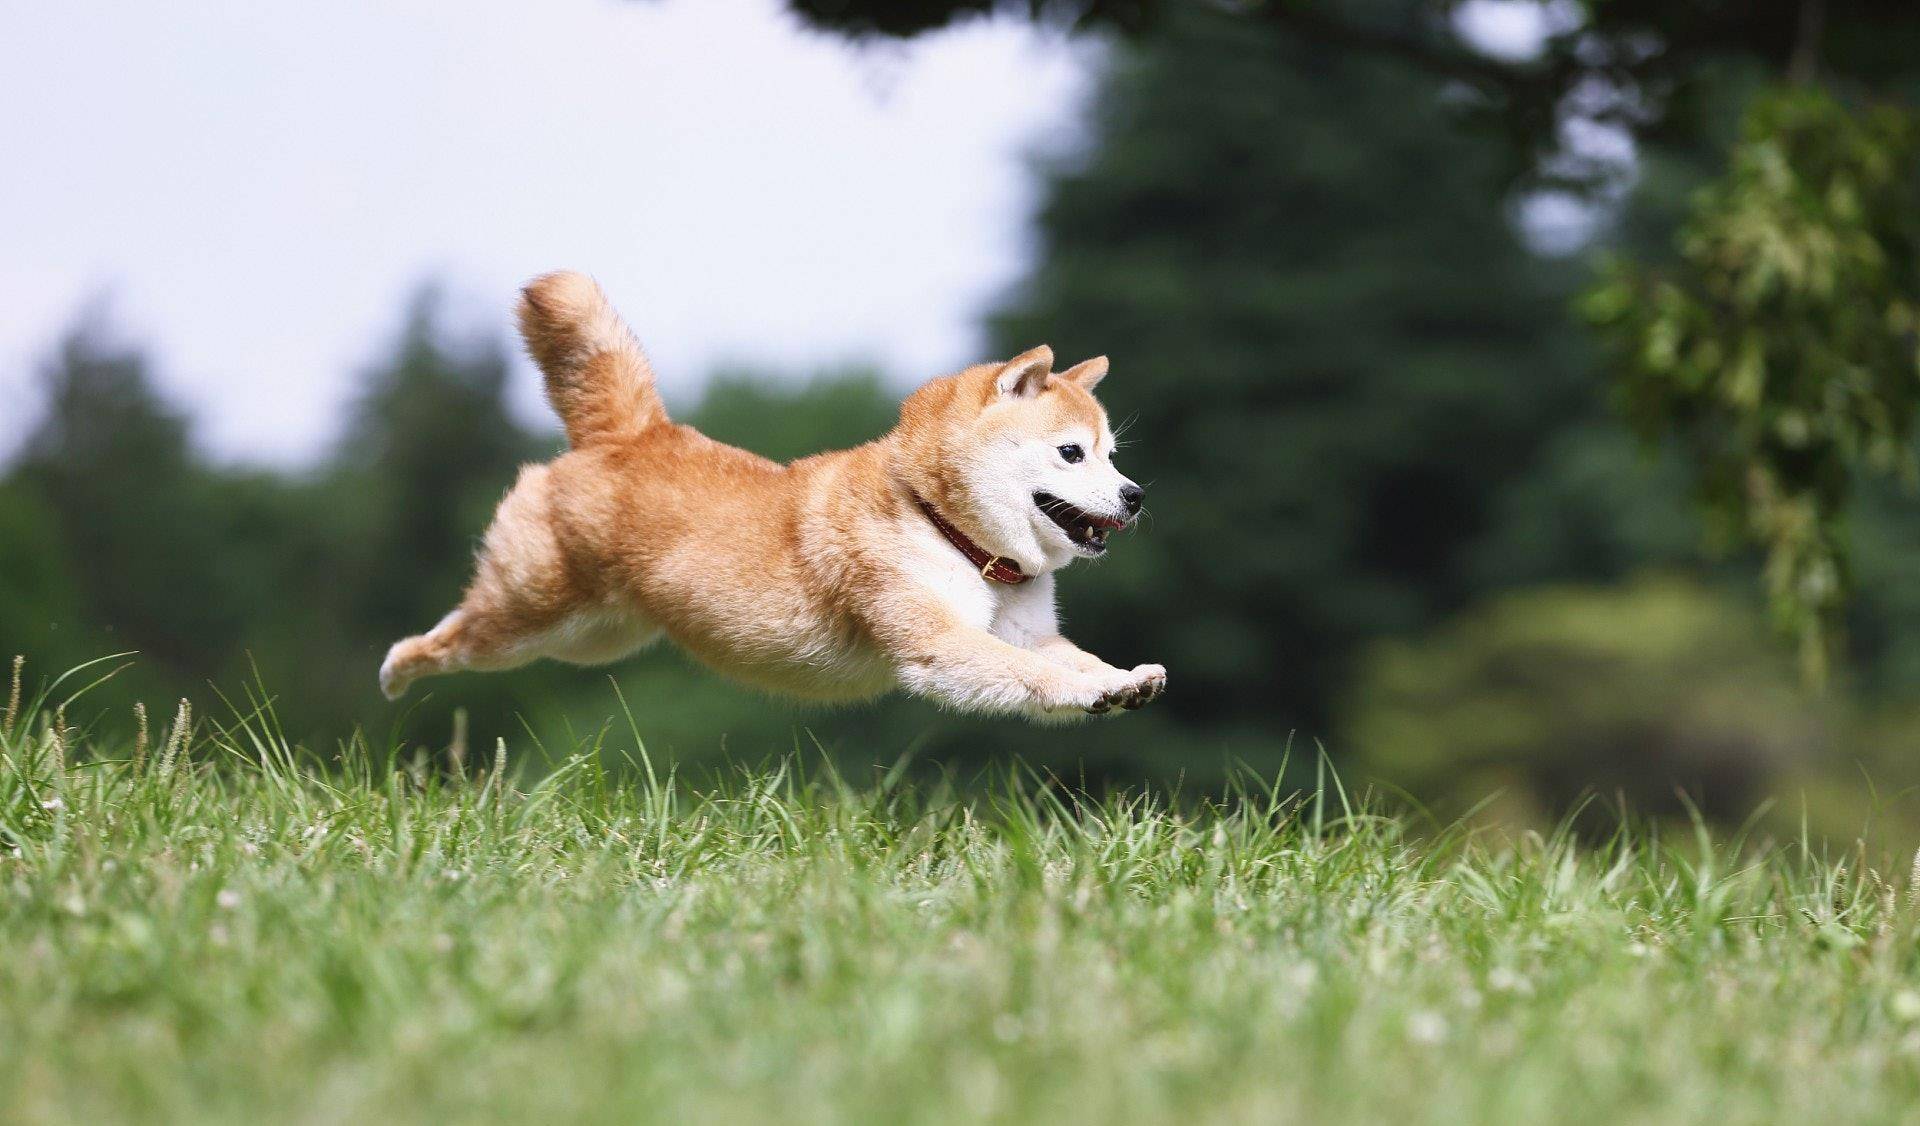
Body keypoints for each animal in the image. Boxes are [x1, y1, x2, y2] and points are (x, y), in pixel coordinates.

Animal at [368, 267, 1159, 714]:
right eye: (1071, 453)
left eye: (1114, 455)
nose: (1135, 496)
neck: (947, 529)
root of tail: (633, 435)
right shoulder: (939, 643)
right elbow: (1035, 675)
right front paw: (1093, 692)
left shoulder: (1028, 631)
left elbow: (1062, 658)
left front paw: (1124, 679)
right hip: (532, 619)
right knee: (450, 635)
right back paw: (396, 670)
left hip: (594, 639)